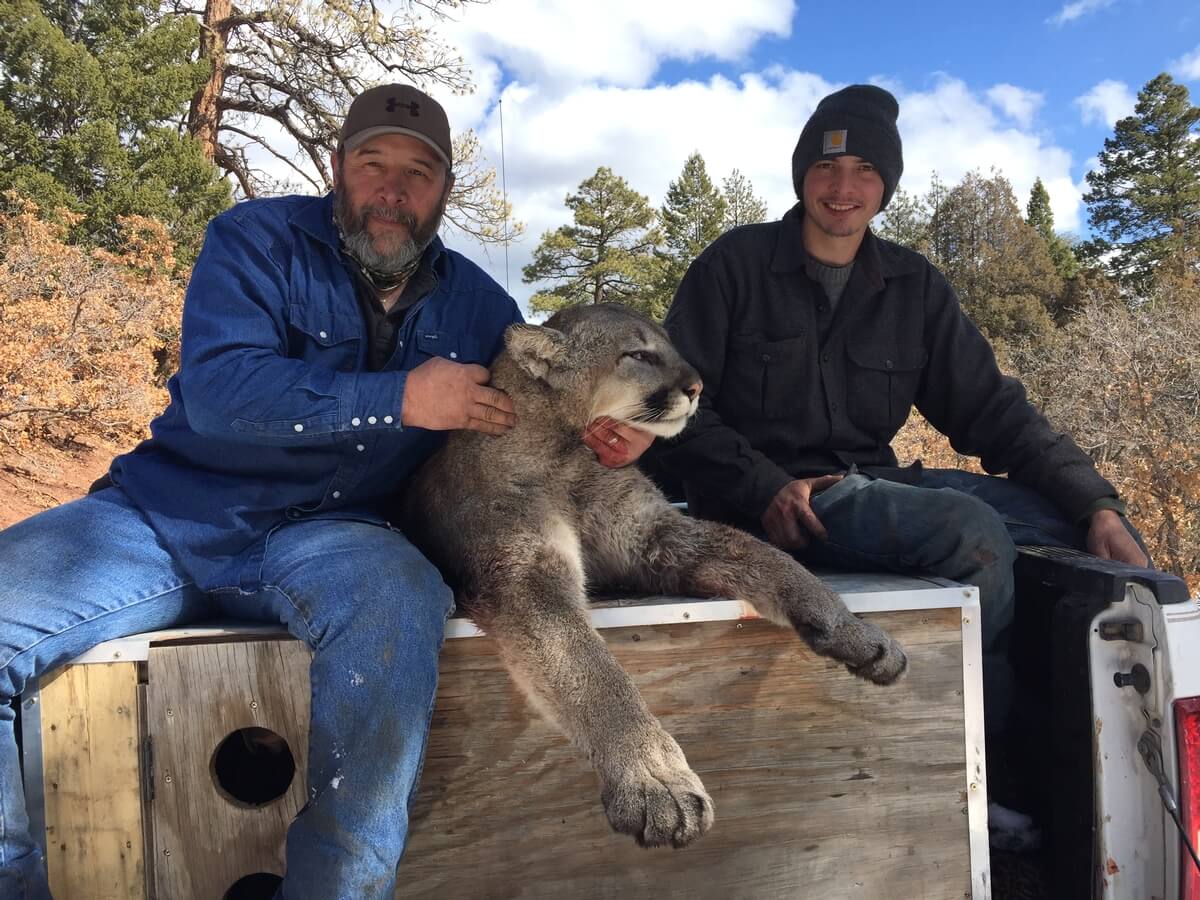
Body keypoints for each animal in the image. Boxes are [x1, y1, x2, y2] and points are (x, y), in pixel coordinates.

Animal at [402, 303, 907, 849]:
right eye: (638, 355)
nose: (698, 386)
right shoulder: (525, 568)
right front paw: (655, 779)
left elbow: (767, 557)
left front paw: (858, 633)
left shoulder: (657, 535)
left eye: (672, 346)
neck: (570, 455)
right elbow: (590, 666)